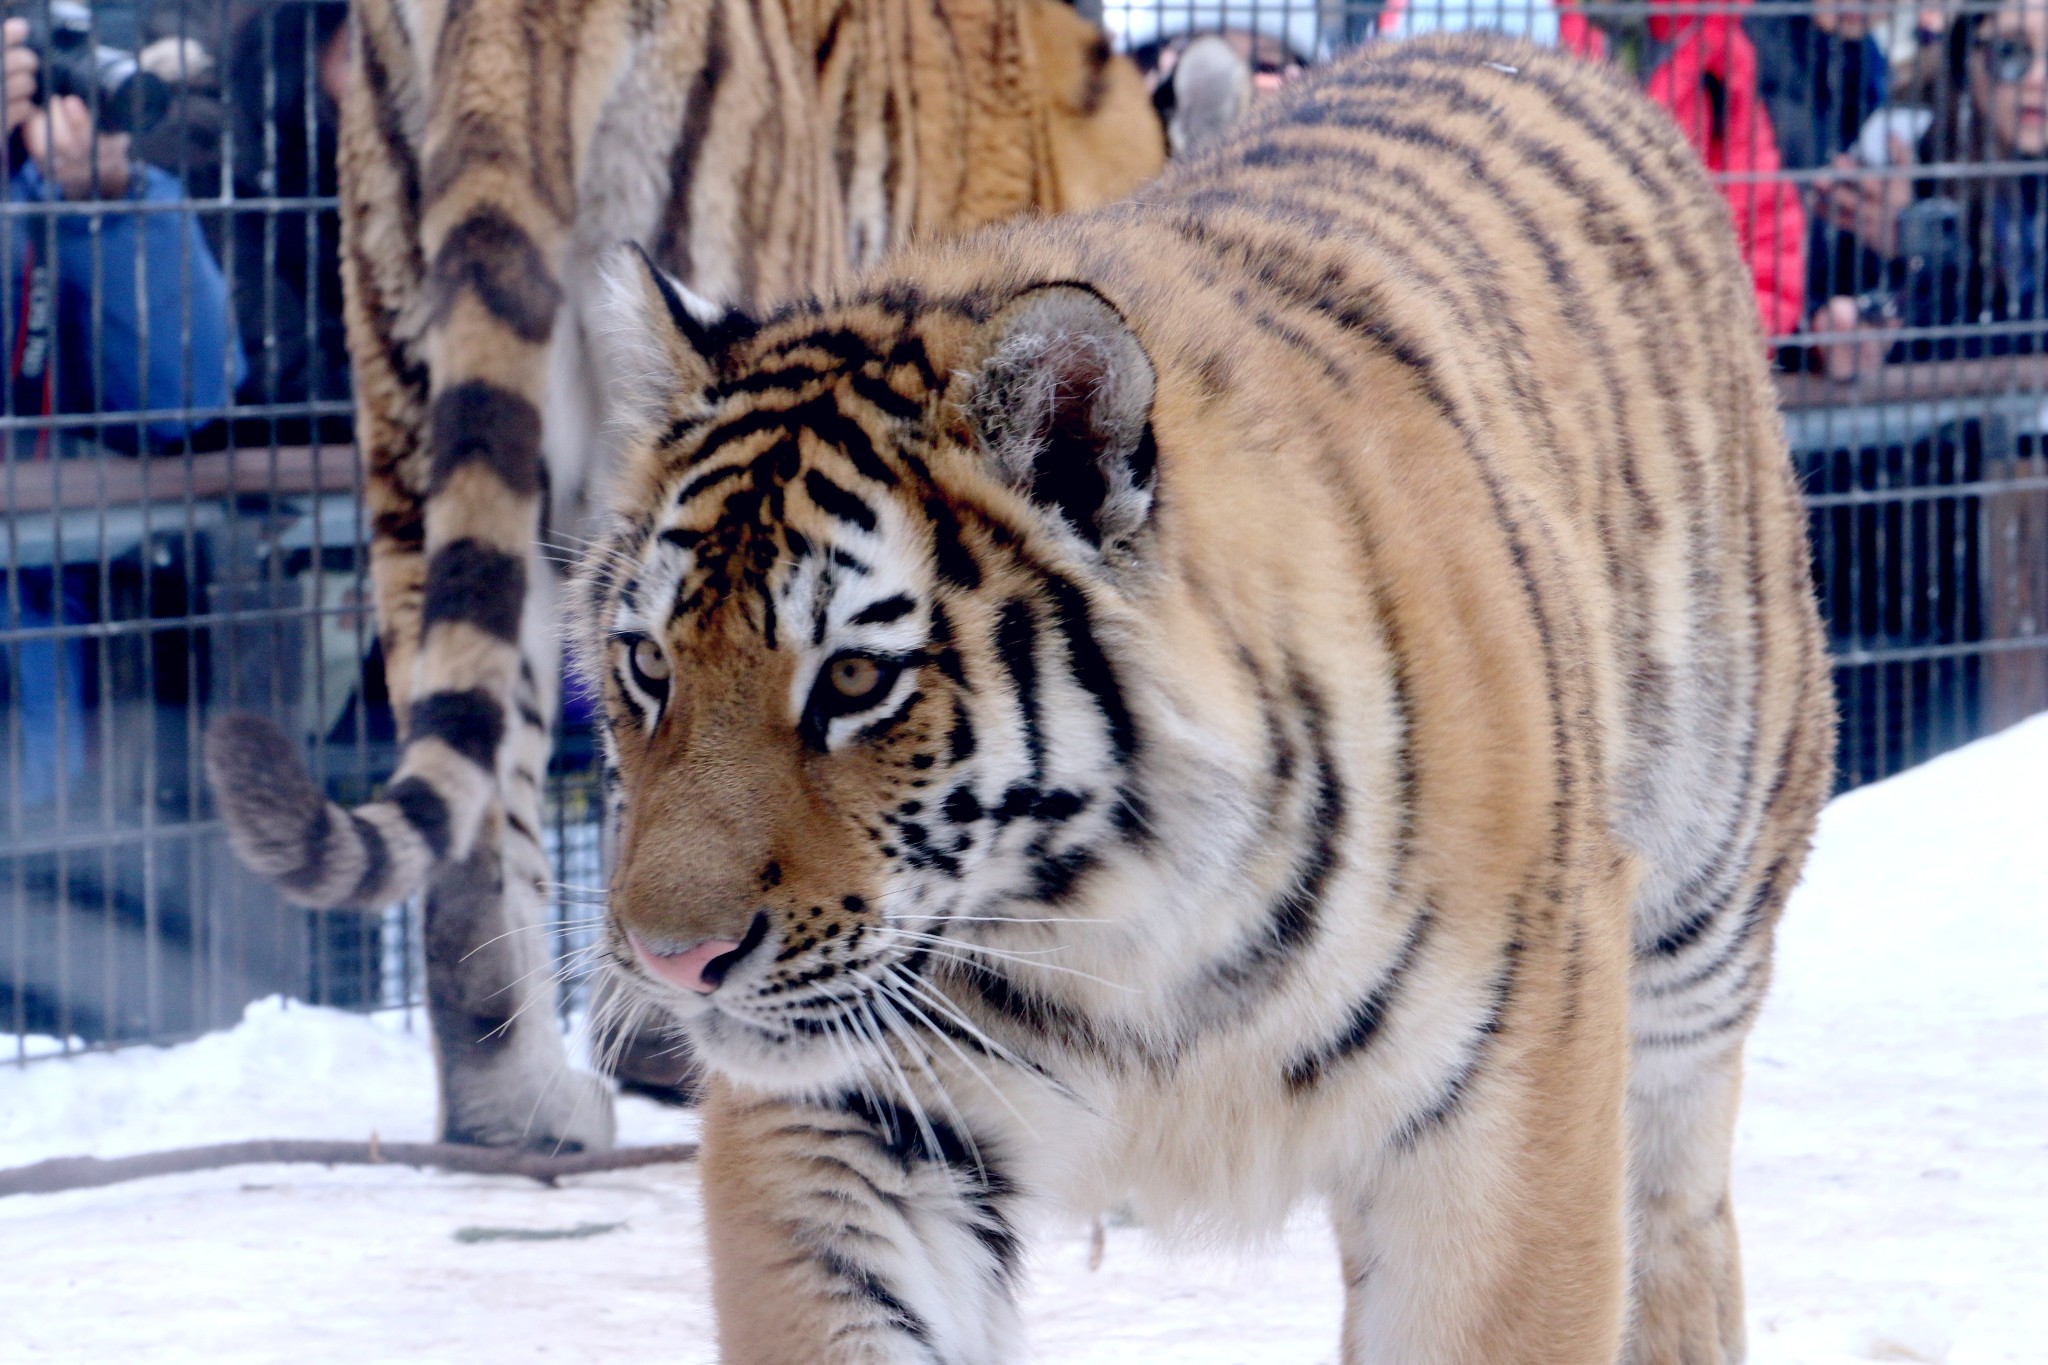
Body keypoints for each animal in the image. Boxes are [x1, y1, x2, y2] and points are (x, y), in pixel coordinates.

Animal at [569, 31, 1835, 1365]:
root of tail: (1503, 41)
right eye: (649, 665)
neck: (1112, 931)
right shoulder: (854, 1120)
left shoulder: (1505, 1097)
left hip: (1697, 932)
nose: (670, 964)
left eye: (856, 679)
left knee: (1678, 1207)